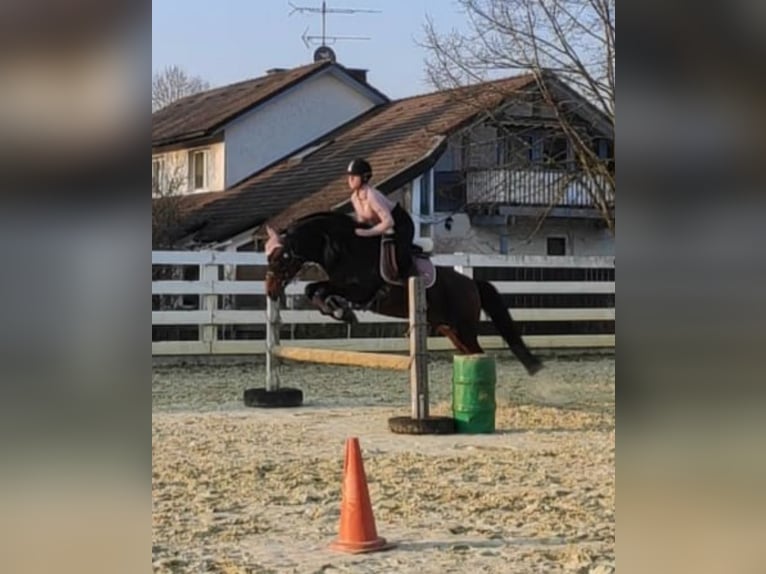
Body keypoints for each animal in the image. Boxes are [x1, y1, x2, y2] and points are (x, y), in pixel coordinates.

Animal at [268, 212, 544, 378]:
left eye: (281, 258)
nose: (270, 291)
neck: (345, 248)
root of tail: (472, 283)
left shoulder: (359, 289)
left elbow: (321, 289)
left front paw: (341, 310)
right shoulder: (338, 283)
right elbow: (313, 289)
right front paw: (338, 310)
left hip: (464, 328)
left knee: (478, 353)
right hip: (450, 329)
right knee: (469, 353)